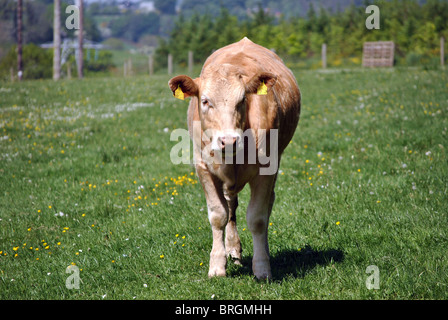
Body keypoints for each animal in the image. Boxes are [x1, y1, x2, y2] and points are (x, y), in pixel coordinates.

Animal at [168, 37, 300, 280]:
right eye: (205, 101)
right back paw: (233, 249)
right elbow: (218, 215)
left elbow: (258, 218)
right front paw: (217, 265)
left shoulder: (267, 168)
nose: (228, 141)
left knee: (268, 204)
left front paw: (262, 267)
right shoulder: (203, 167)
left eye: (242, 100)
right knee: (231, 206)